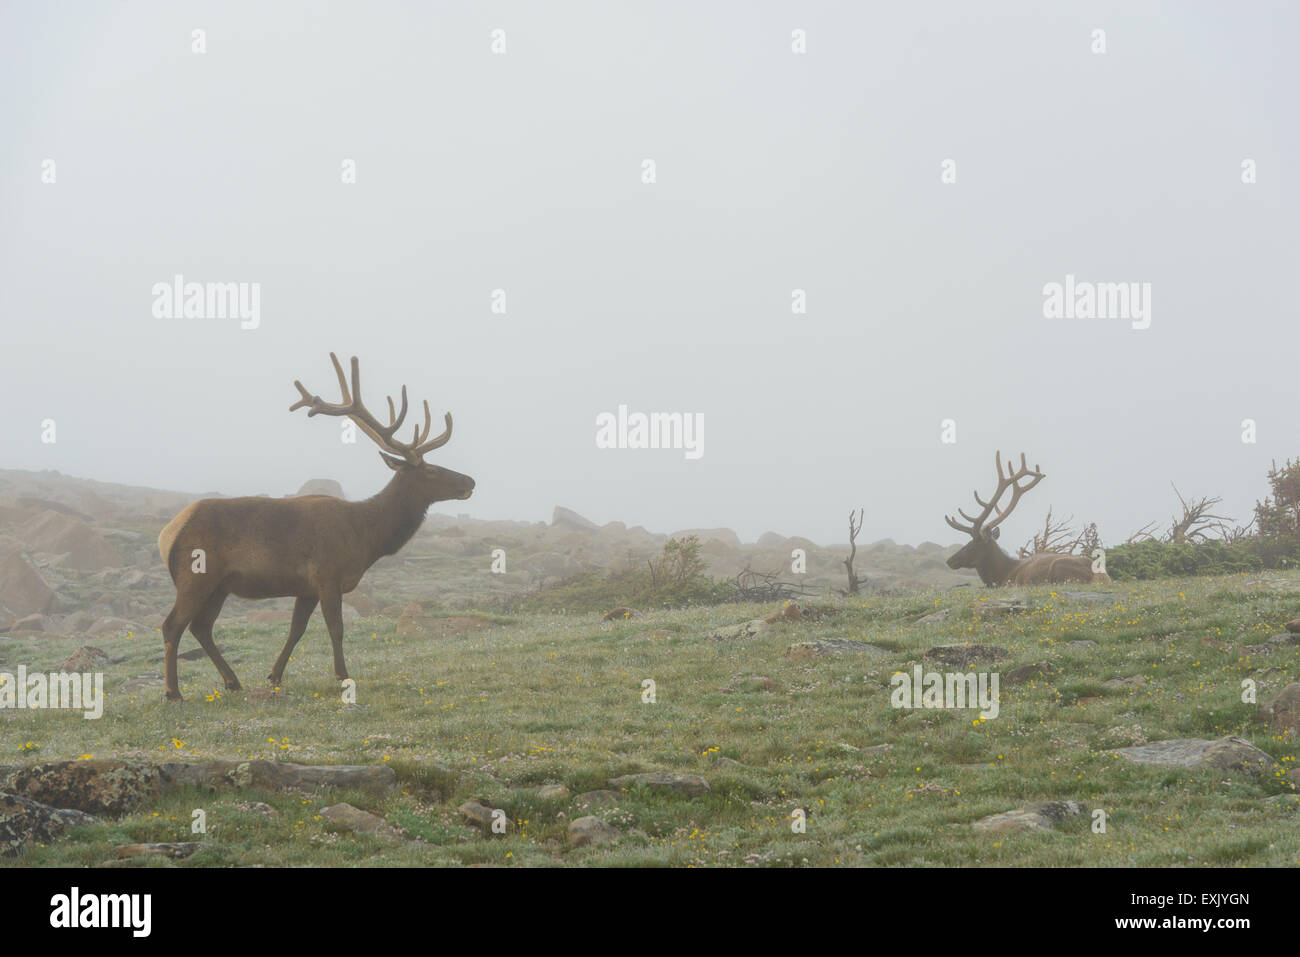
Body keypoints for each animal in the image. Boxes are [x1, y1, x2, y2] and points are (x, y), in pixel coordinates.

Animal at [156, 354, 475, 701]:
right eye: (430, 470)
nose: (470, 481)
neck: (366, 536)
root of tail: (167, 534)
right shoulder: (327, 574)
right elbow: (336, 628)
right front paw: (343, 676)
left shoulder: (306, 587)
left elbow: (296, 630)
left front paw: (274, 675)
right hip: (196, 574)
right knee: (173, 624)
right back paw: (173, 692)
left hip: (219, 585)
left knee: (201, 627)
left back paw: (232, 681)